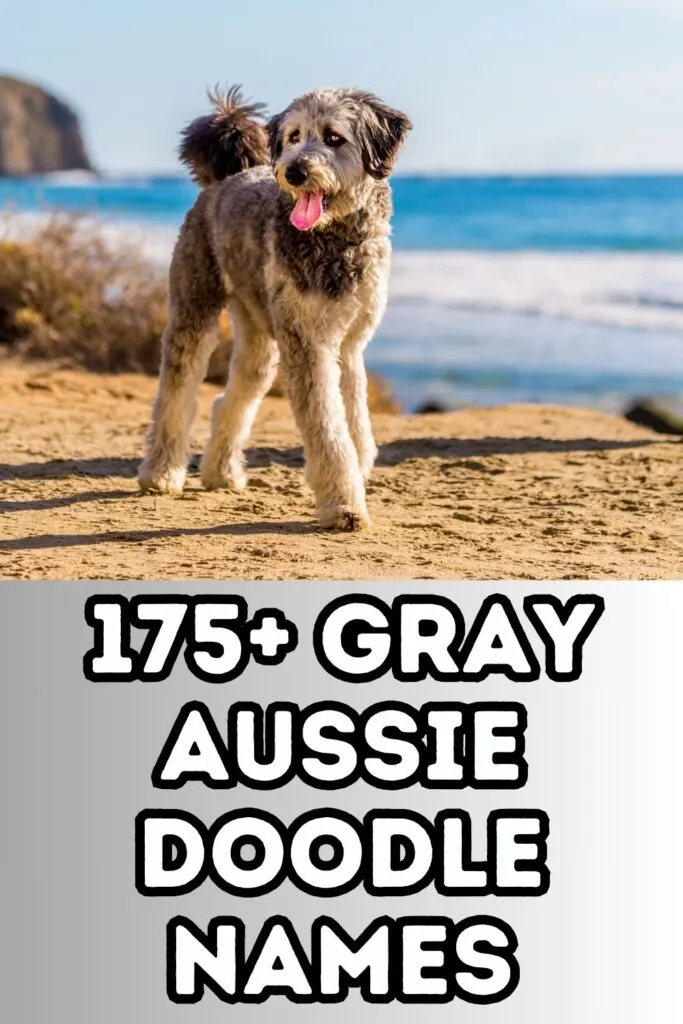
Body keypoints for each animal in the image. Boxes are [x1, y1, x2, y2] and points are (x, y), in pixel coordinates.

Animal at [136, 84, 409, 532]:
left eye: (334, 137)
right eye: (295, 135)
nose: (294, 171)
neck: (334, 240)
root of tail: (225, 178)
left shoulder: (349, 345)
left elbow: (354, 420)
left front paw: (356, 468)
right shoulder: (308, 345)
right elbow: (329, 429)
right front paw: (343, 504)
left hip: (260, 337)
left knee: (232, 398)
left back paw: (221, 472)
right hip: (194, 308)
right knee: (176, 394)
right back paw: (160, 472)